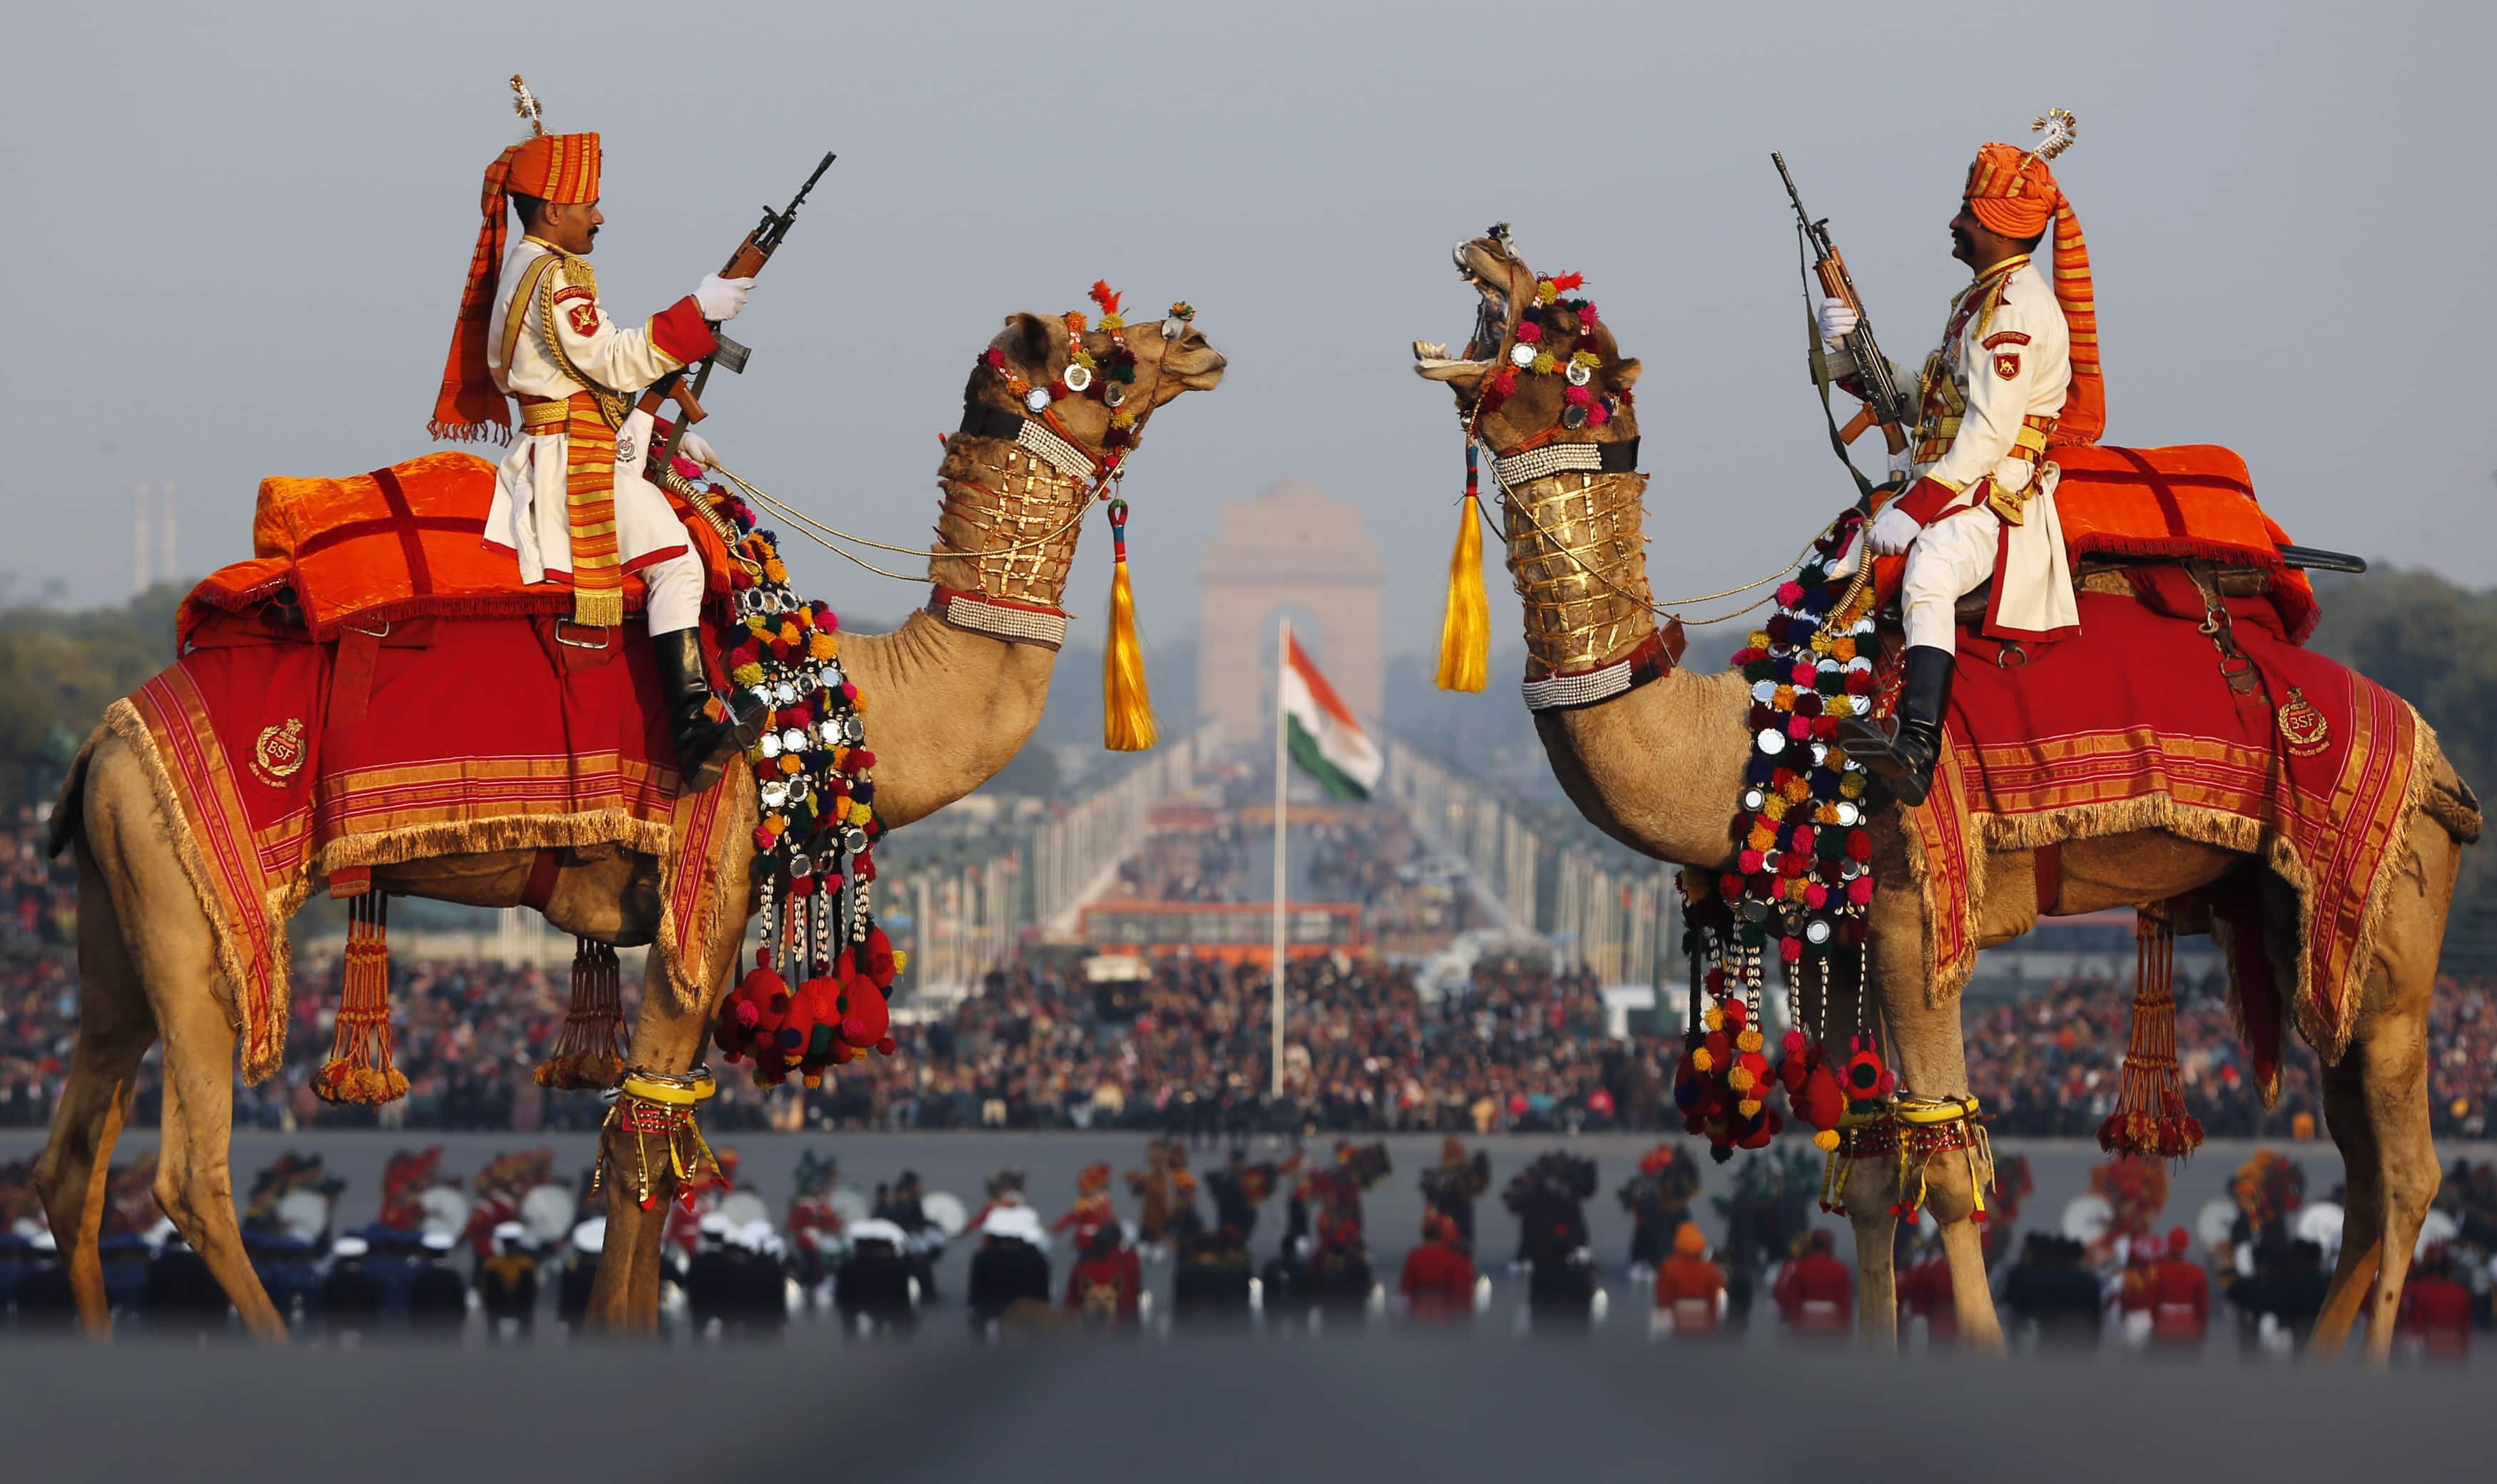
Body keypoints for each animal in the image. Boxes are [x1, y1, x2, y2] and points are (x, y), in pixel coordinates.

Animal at [29, 292, 1219, 1328]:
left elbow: (666, 1124)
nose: (1198, 342)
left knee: (71, 1153)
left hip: (118, 900)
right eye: (1103, 357)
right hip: (196, 910)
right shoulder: (707, 886)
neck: (841, 698)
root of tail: (103, 739)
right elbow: (646, 1128)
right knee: (189, 1173)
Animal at [1418, 228, 2487, 1348]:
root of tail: (2440, 762)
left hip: (2389, 919)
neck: (1759, 736)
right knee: (2360, 1157)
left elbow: (1940, 1156)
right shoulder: (1837, 927)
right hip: (2298, 922)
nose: (1490, 245)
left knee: (2406, 1169)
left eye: (1568, 335)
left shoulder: (1912, 910)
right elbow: (1869, 1154)